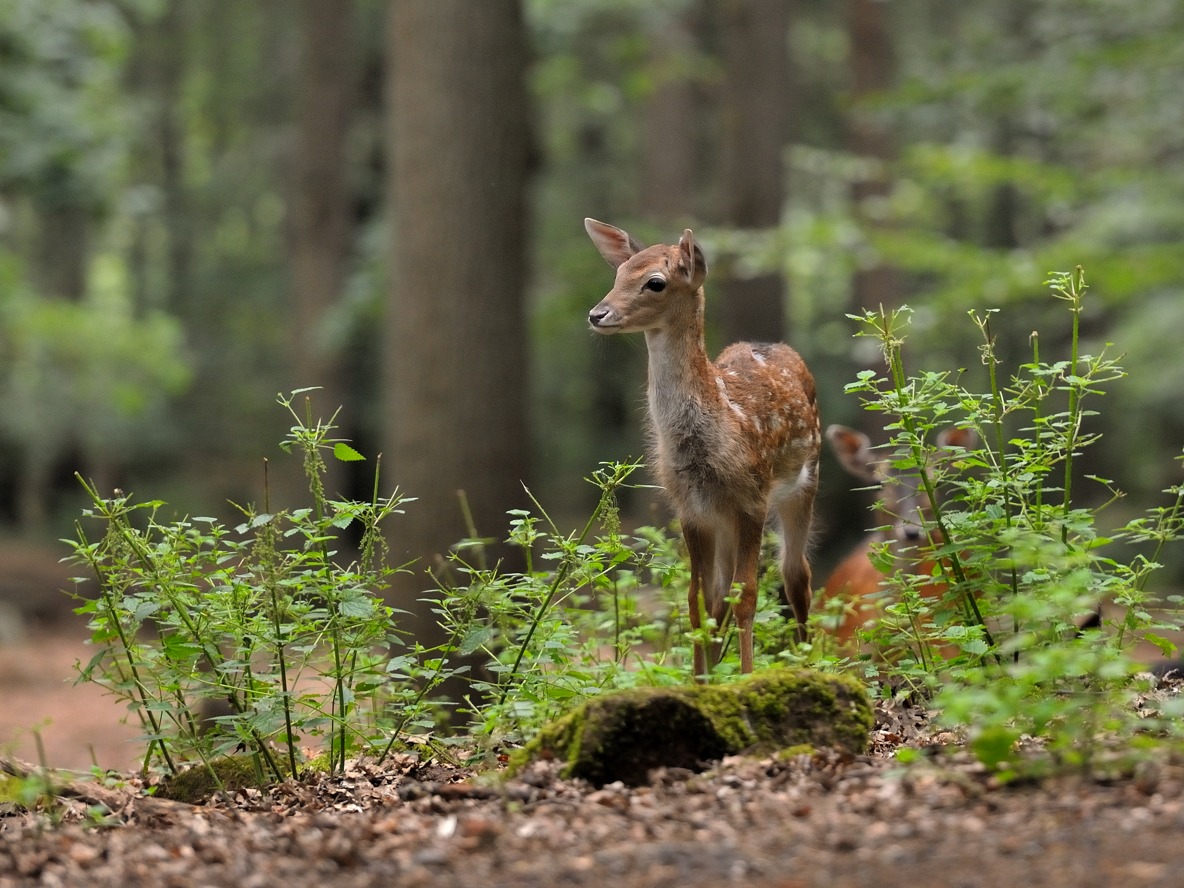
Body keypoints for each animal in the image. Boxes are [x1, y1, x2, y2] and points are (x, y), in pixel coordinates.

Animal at [584, 219, 824, 677]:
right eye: (618, 274)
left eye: (655, 282)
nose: (597, 313)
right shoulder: (690, 508)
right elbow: (698, 600)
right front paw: (700, 680)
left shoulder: (752, 498)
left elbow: (747, 595)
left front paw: (746, 677)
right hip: (725, 518)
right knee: (721, 593)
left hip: (806, 480)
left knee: (796, 574)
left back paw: (808, 662)